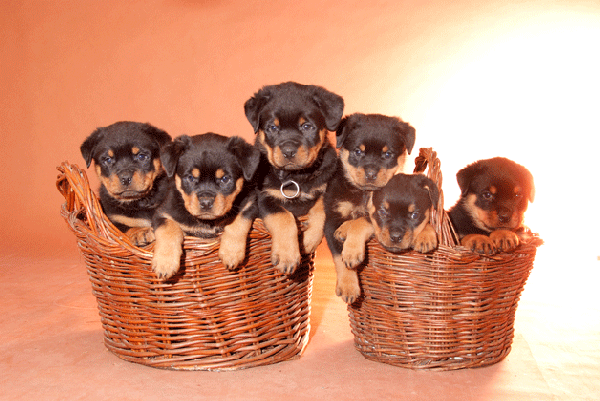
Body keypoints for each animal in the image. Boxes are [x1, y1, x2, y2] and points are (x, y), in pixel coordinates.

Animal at [151, 134, 258, 278]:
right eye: (190, 177)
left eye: (225, 179)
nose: (206, 202)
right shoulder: (162, 213)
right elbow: (168, 229)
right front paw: (165, 263)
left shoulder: (250, 202)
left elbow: (239, 222)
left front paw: (231, 253)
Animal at [244, 81, 344, 276]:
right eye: (273, 128)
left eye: (307, 126)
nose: (288, 151)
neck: (296, 177)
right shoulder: (265, 197)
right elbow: (284, 217)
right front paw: (287, 256)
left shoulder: (328, 188)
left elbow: (320, 209)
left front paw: (309, 240)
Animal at [324, 111, 418, 302]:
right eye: (358, 151)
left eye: (387, 154)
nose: (371, 173)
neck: (365, 193)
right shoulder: (331, 219)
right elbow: (339, 256)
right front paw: (348, 286)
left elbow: (360, 221)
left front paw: (350, 245)